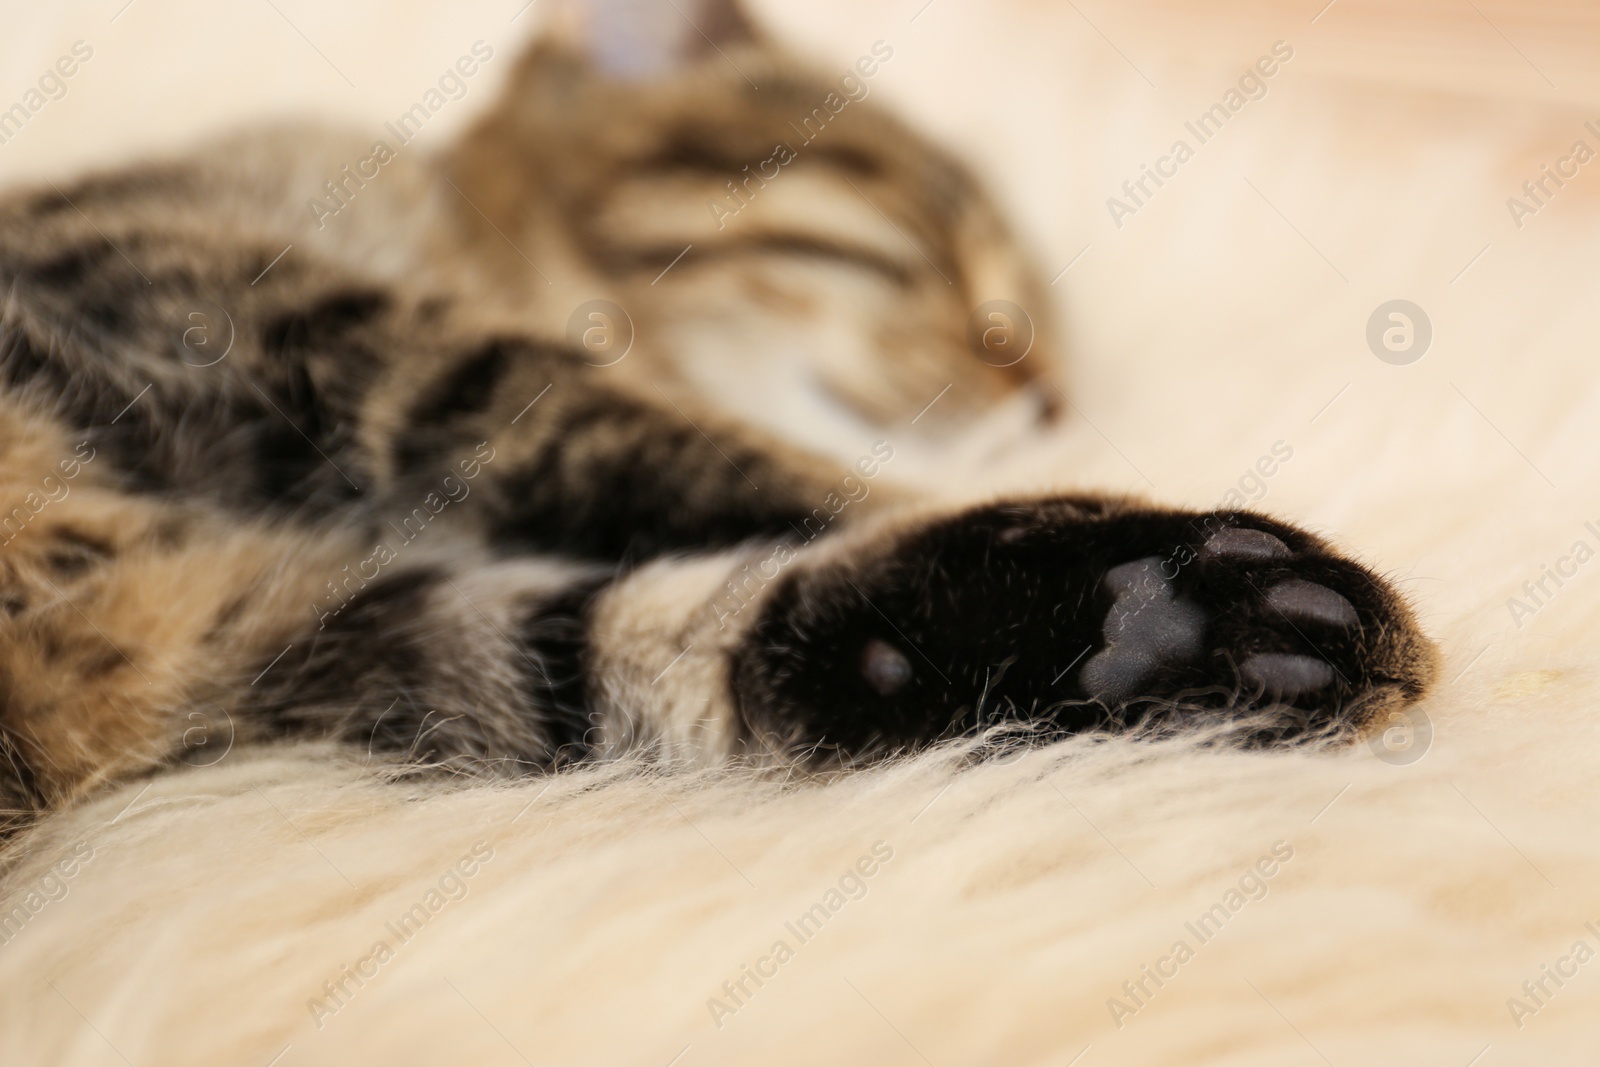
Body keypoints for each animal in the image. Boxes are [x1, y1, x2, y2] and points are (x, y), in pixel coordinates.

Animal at [0, 0, 1440, 831]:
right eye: (947, 265)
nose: (1051, 397)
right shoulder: (245, 314)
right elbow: (706, 458)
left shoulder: (278, 650)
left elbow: (659, 642)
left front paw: (1140, 628)